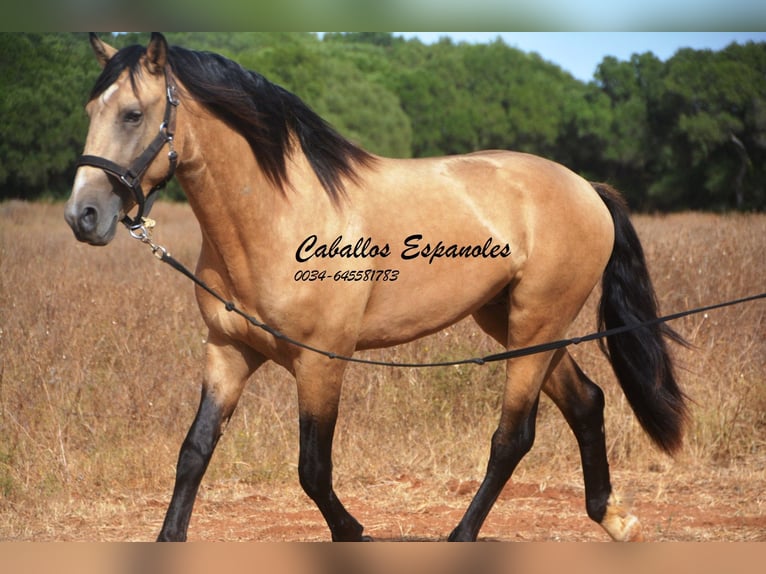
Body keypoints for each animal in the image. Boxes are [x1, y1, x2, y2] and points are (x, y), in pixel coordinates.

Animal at [66, 32, 688, 544]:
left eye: (132, 114)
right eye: (91, 110)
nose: (83, 216)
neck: (278, 216)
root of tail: (586, 187)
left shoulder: (322, 362)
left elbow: (313, 469)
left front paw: (354, 532)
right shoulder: (228, 351)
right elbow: (194, 452)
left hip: (536, 326)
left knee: (513, 437)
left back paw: (463, 536)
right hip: (518, 325)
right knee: (587, 402)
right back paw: (616, 519)